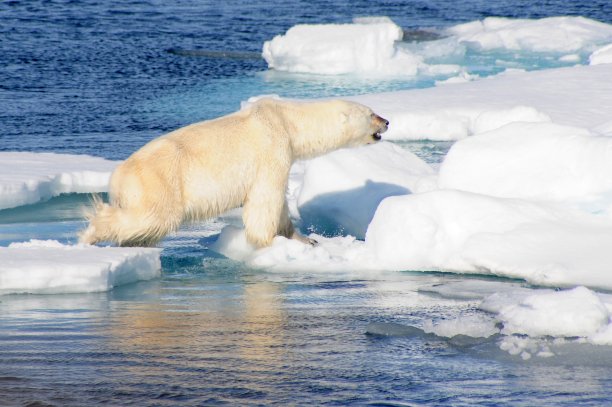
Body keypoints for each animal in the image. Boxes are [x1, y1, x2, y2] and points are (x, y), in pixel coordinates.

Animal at [79, 98, 390, 249]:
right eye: (371, 113)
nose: (387, 121)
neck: (287, 121)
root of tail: (118, 176)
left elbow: (278, 204)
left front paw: (305, 239)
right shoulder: (272, 149)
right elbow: (266, 198)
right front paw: (267, 241)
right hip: (159, 183)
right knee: (150, 218)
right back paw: (88, 236)